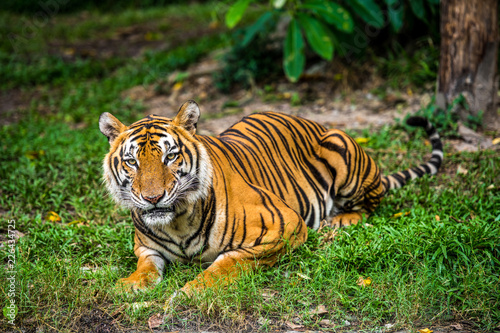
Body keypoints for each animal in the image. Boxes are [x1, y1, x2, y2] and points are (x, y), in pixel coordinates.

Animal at [99, 100, 444, 294]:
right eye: (132, 161)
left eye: (170, 156)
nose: (152, 198)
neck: (177, 223)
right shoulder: (145, 248)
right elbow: (145, 266)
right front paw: (129, 285)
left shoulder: (284, 226)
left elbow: (229, 261)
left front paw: (192, 291)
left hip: (343, 154)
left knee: (372, 202)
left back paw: (339, 221)